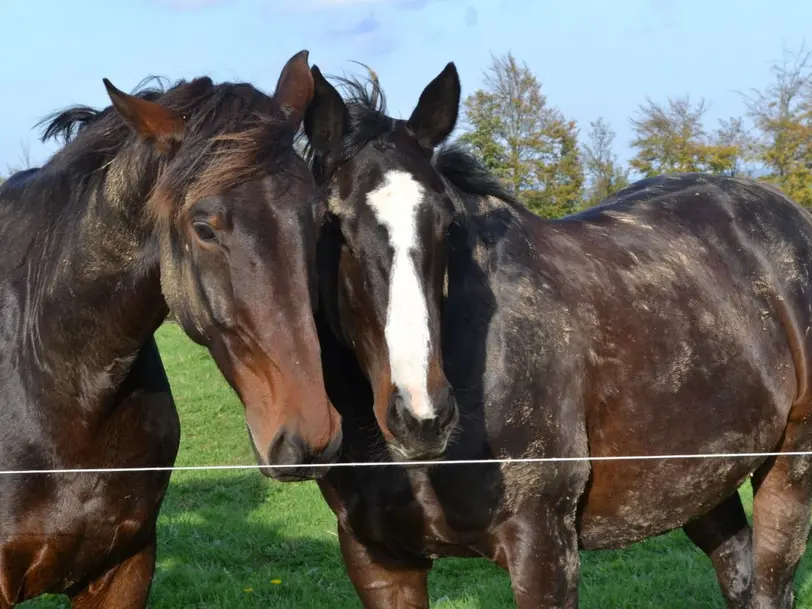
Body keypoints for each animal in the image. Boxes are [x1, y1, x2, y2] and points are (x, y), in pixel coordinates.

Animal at [302, 63, 812, 608]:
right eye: (334, 223)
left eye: (447, 223)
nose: (422, 414)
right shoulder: (380, 561)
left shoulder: (542, 547)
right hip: (702, 478)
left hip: (790, 468)